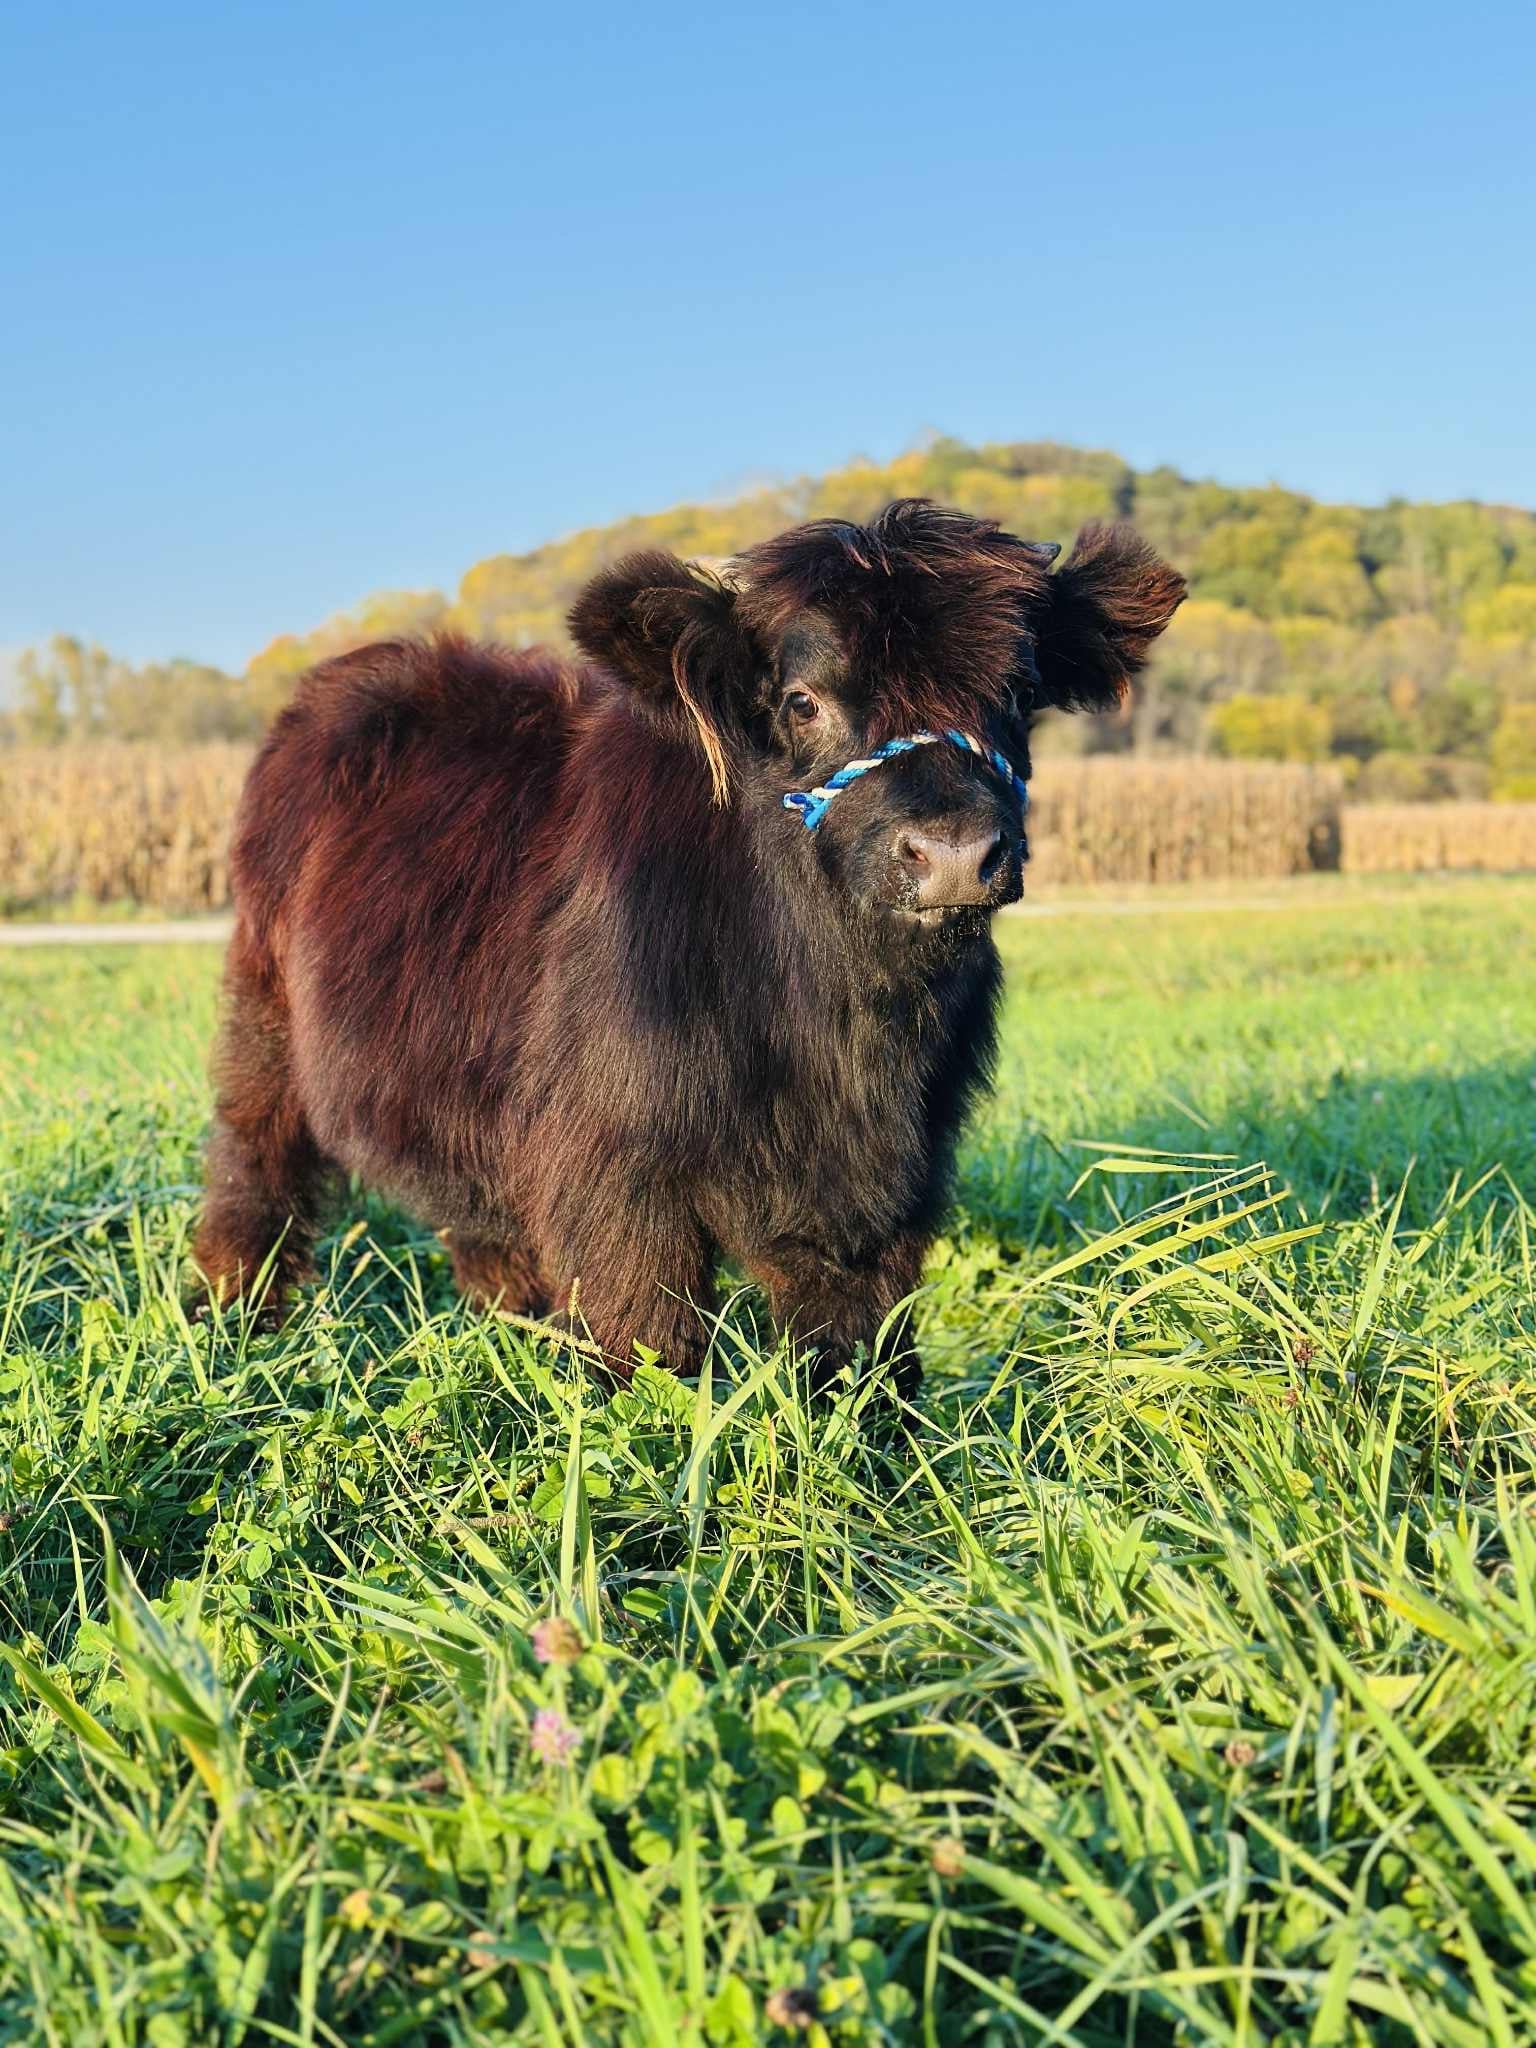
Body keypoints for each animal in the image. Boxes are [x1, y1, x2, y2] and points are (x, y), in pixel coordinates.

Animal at [195, 500, 1183, 1399]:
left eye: (1017, 693)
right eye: (802, 700)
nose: (951, 855)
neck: (837, 1018)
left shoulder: (895, 1171)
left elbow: (861, 1354)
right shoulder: (618, 1176)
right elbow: (652, 1352)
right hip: (264, 1025)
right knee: (254, 1169)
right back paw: (235, 1325)